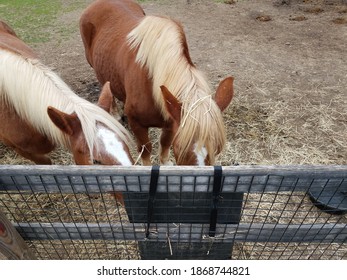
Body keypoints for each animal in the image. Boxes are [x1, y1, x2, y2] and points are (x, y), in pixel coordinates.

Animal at [80, 0, 235, 166]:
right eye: (180, 148)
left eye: (217, 149)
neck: (151, 83)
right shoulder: (137, 123)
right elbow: (146, 149)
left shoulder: (171, 122)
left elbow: (165, 143)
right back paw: (114, 112)